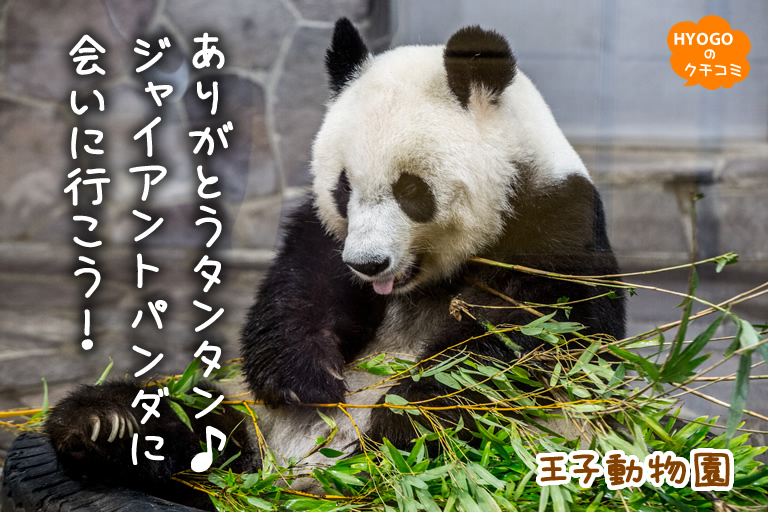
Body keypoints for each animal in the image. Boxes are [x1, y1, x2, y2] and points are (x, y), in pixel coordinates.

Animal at [42, 18, 628, 510]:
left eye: (412, 190)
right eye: (345, 187)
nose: (369, 264)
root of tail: (281, 484)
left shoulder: (555, 225)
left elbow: (518, 339)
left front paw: (407, 419)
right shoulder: (324, 234)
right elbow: (303, 289)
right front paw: (307, 379)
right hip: (251, 422)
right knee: (198, 421)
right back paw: (106, 423)